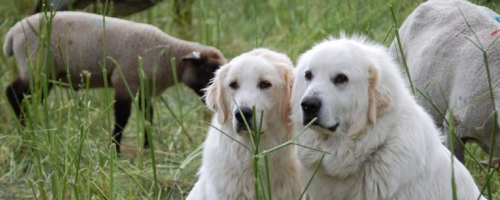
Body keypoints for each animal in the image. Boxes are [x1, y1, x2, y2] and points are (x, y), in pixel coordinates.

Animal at [2, 11, 226, 152]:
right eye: (210, 70)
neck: (168, 56)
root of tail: (12, 34)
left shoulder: (143, 88)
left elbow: (148, 116)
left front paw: (147, 148)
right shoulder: (124, 81)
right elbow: (122, 118)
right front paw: (115, 149)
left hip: (44, 74)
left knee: (28, 98)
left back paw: (29, 129)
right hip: (35, 67)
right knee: (12, 92)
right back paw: (24, 131)